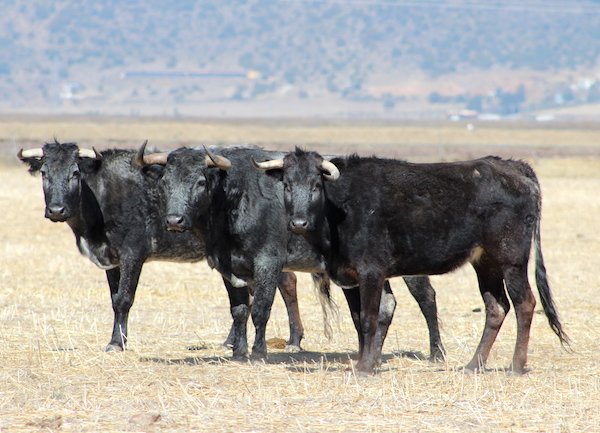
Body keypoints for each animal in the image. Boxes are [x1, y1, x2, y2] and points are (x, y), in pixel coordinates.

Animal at [17, 140, 311, 353]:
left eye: (75, 173)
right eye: (44, 173)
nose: (56, 210)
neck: (103, 193)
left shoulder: (133, 254)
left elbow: (124, 299)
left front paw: (116, 344)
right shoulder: (112, 260)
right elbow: (114, 299)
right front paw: (118, 338)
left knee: (286, 284)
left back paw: (293, 340)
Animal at [140, 144, 445, 362]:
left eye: (200, 182)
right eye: (165, 182)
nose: (174, 220)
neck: (234, 200)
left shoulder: (268, 263)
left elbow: (261, 308)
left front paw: (258, 353)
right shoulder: (229, 267)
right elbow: (239, 310)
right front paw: (238, 352)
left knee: (427, 299)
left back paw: (436, 353)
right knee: (385, 306)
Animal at [253, 148, 570, 375]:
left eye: (316, 186)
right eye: (287, 185)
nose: (298, 223)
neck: (341, 207)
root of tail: (514, 167)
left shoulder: (371, 272)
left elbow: (368, 318)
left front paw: (365, 368)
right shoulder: (350, 278)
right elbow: (359, 319)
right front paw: (365, 361)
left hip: (511, 260)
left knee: (524, 304)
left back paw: (516, 366)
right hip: (485, 263)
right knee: (496, 307)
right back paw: (473, 365)